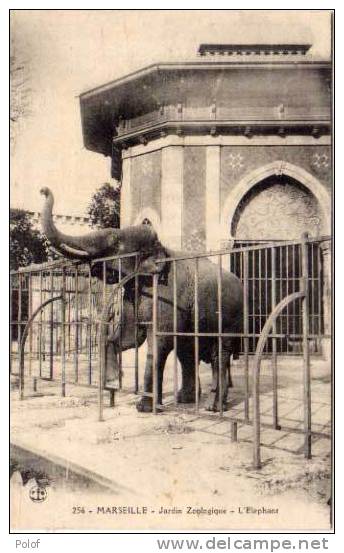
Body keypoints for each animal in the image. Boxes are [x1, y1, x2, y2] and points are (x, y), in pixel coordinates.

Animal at [40, 188, 243, 412]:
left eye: (115, 242)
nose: (43, 190)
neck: (160, 247)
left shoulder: (166, 294)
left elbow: (159, 343)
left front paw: (144, 407)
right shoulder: (132, 295)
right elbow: (128, 337)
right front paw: (112, 381)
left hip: (231, 317)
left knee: (219, 353)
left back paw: (214, 407)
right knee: (188, 351)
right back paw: (187, 399)